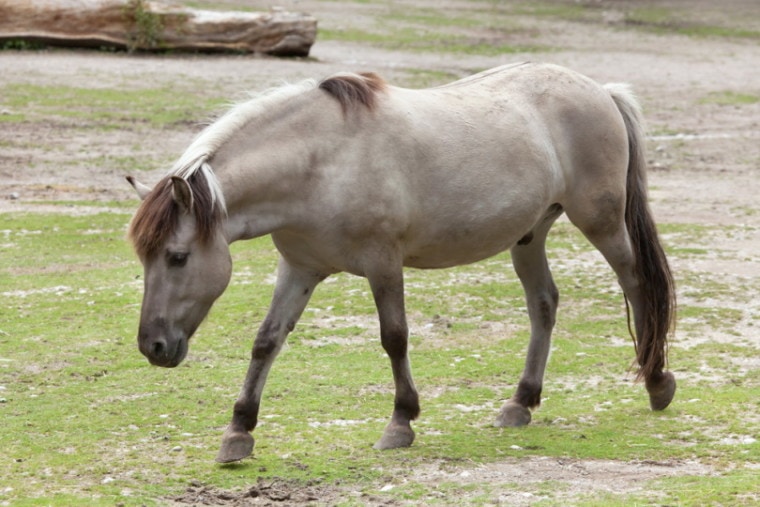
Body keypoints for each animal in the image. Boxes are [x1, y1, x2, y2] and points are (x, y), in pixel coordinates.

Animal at [126, 62, 676, 464]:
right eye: (145, 258)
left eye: (177, 257)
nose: (154, 347)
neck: (322, 162)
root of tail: (601, 90)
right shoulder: (299, 269)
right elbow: (267, 342)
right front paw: (238, 432)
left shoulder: (383, 264)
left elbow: (394, 338)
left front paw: (400, 421)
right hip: (529, 235)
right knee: (544, 305)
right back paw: (520, 402)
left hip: (601, 223)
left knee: (636, 286)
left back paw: (656, 382)